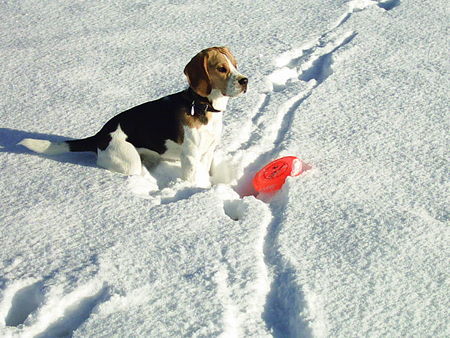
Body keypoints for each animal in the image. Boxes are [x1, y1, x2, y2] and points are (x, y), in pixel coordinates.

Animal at [19, 46, 248, 185]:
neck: (202, 106)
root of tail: (99, 136)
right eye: (221, 68)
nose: (245, 80)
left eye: (235, 64)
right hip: (129, 162)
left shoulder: (208, 151)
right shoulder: (190, 156)